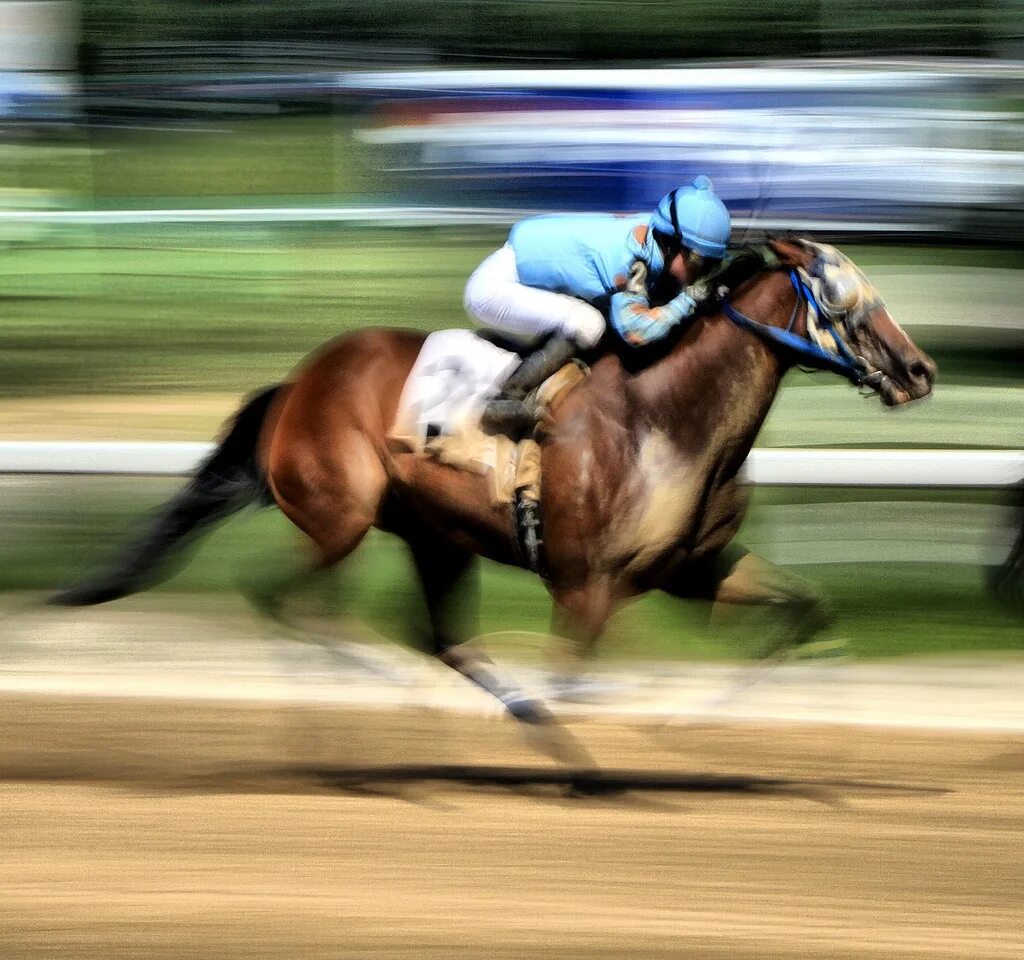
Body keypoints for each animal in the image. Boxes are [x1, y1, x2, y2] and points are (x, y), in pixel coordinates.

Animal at [54, 237, 937, 724]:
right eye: (843, 292)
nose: (920, 371)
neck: (667, 416)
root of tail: (298, 381)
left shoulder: (694, 567)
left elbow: (805, 610)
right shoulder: (585, 585)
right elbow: (583, 674)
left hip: (435, 535)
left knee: (439, 638)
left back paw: (504, 708)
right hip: (341, 513)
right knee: (288, 600)